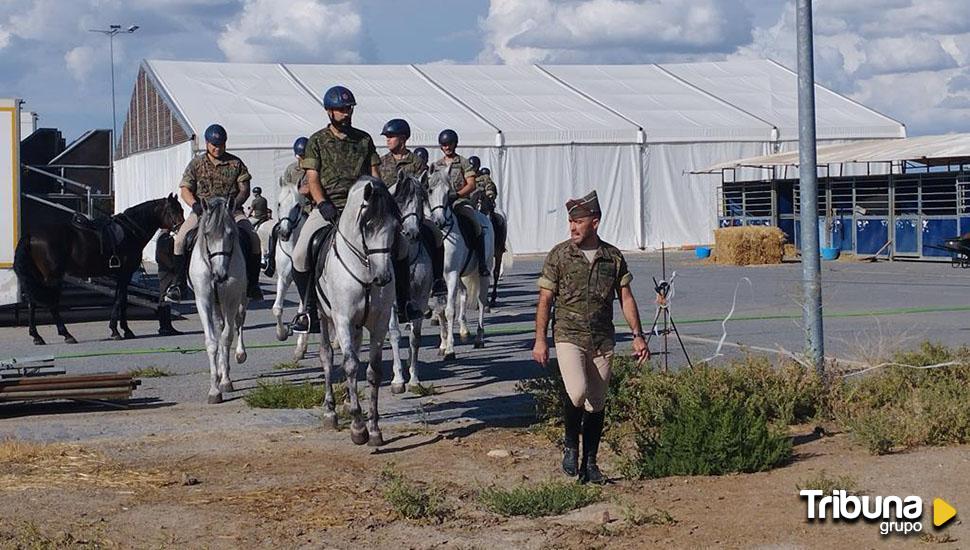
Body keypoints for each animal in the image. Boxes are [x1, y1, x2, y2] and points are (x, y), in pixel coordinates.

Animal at [14, 195, 184, 344]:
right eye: (173, 210)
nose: (181, 227)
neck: (130, 231)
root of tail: (31, 235)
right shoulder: (125, 274)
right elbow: (120, 301)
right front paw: (117, 331)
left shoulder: (122, 276)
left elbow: (121, 300)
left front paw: (124, 330)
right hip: (52, 278)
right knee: (52, 305)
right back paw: (66, 335)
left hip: (38, 278)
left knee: (32, 303)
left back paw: (37, 336)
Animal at [188, 198, 248, 406]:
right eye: (207, 234)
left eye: (231, 234)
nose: (220, 275)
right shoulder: (204, 301)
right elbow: (213, 342)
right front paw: (214, 390)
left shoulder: (231, 300)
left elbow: (226, 337)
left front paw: (225, 382)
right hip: (216, 305)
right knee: (221, 326)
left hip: (241, 299)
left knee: (238, 322)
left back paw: (239, 355)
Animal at [312, 178, 398, 448]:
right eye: (368, 226)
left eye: (396, 226)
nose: (383, 278)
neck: (365, 271)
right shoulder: (343, 320)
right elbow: (349, 365)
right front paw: (358, 428)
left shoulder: (379, 323)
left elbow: (373, 371)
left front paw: (374, 429)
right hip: (323, 317)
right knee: (327, 356)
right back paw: (330, 412)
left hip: (358, 326)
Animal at [430, 170, 496, 364]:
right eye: (429, 190)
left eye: (448, 192)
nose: (438, 221)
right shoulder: (436, 281)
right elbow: (440, 311)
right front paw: (443, 345)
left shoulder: (450, 275)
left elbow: (449, 311)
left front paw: (450, 350)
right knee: (465, 292)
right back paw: (464, 330)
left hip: (483, 272)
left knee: (481, 301)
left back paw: (479, 338)